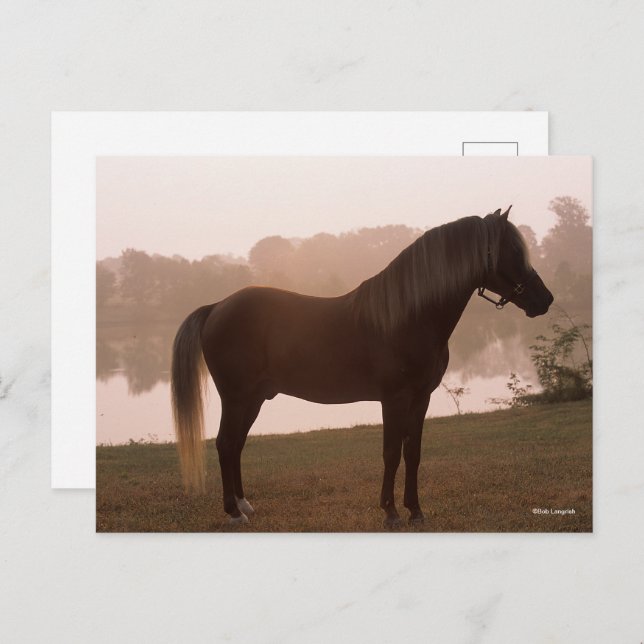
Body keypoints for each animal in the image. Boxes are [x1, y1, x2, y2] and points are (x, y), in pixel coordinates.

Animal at [171, 207, 554, 528]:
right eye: (513, 251)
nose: (545, 300)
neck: (408, 315)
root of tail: (216, 306)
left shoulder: (421, 399)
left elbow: (412, 453)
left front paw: (416, 511)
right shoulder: (394, 399)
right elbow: (391, 454)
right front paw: (391, 513)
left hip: (253, 400)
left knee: (236, 445)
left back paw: (244, 505)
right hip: (236, 398)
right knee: (225, 444)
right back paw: (233, 512)